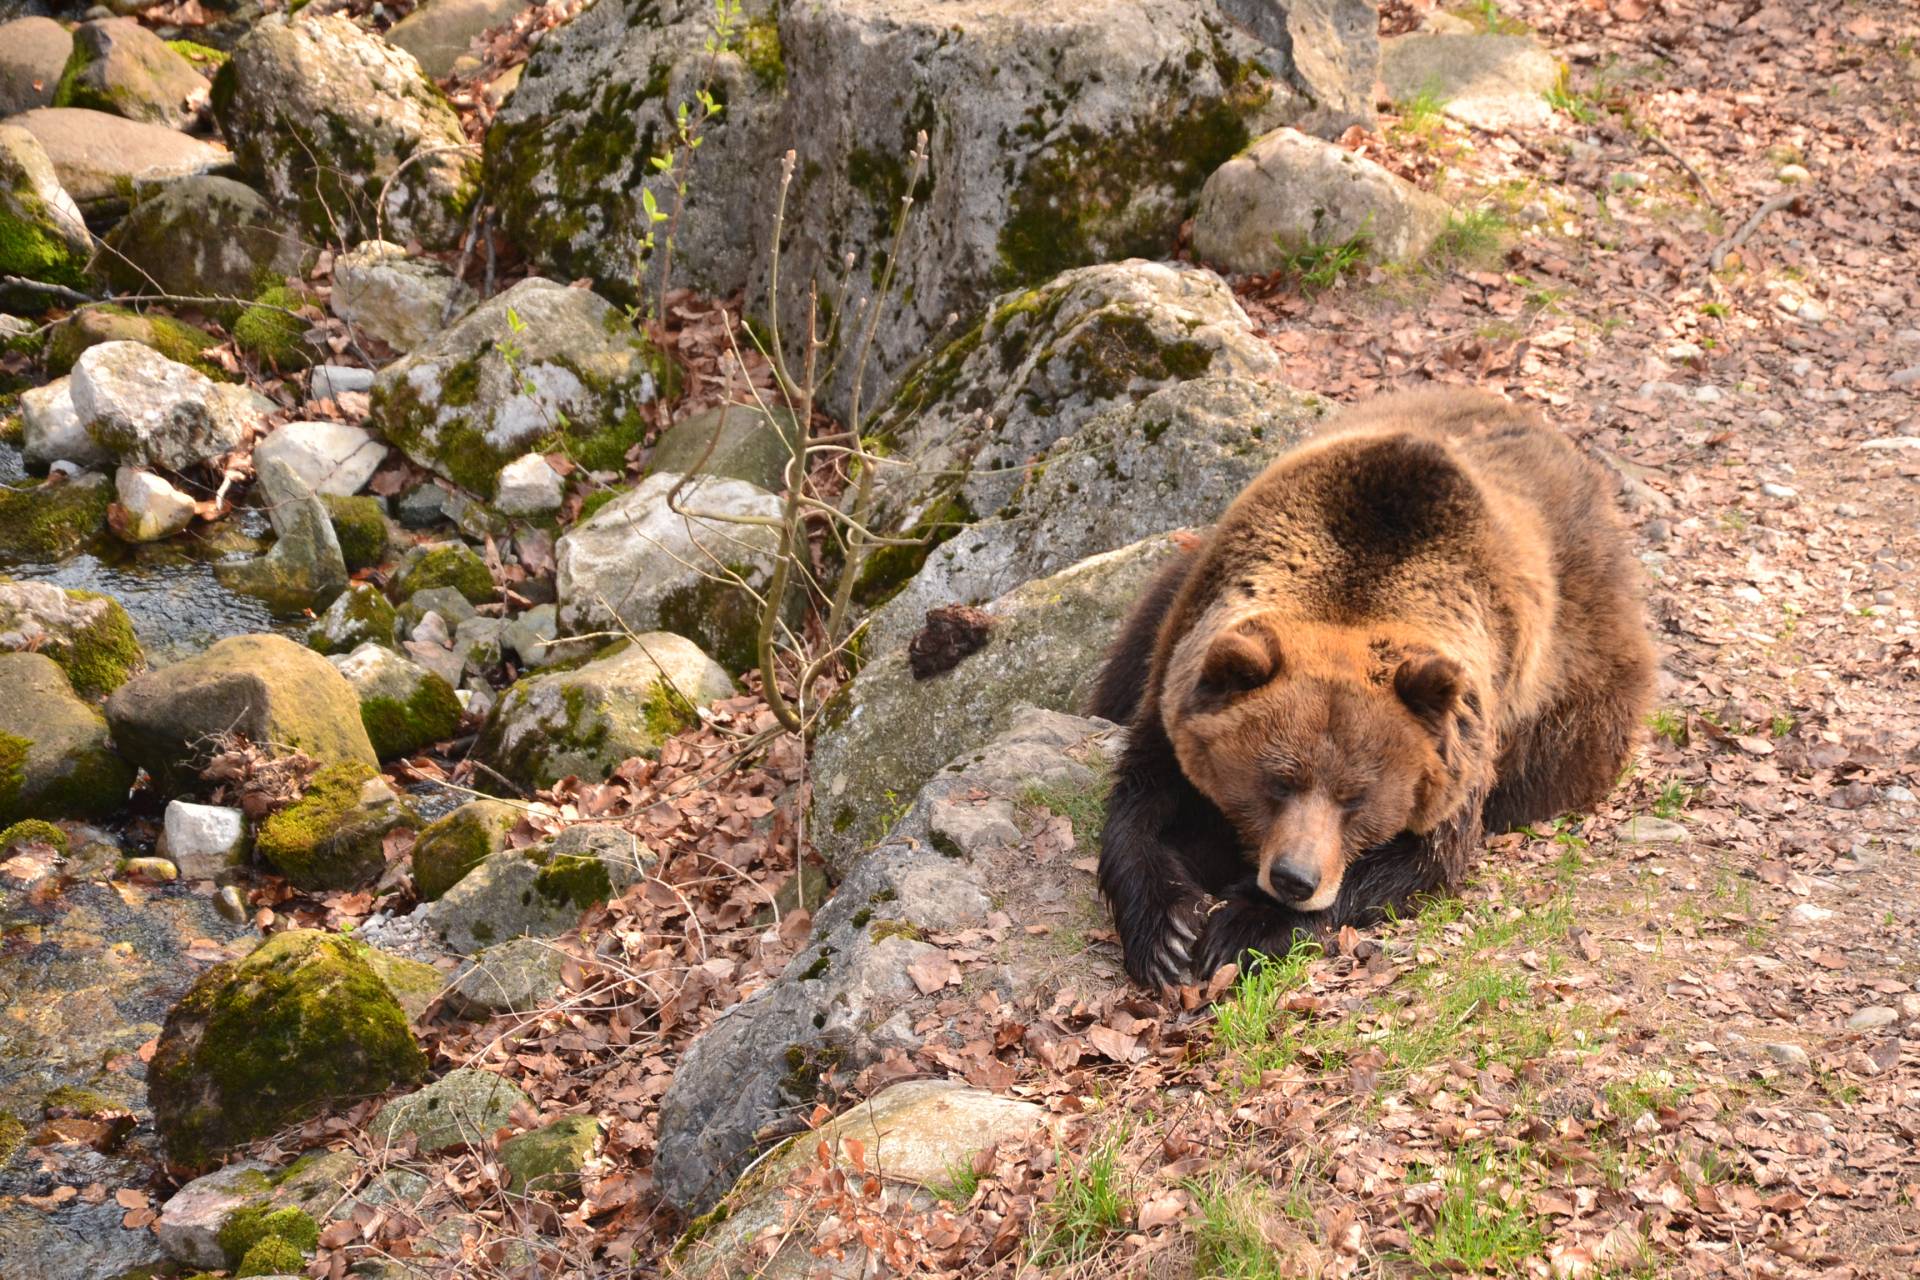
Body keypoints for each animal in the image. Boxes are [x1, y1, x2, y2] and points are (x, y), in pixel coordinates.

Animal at [1089, 388, 1655, 987]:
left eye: (1355, 797)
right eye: (1277, 781)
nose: (1295, 878)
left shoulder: (1464, 743)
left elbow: (1418, 859)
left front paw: (1241, 926)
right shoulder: (1182, 664)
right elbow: (1146, 802)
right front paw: (1167, 933)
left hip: (1578, 693)